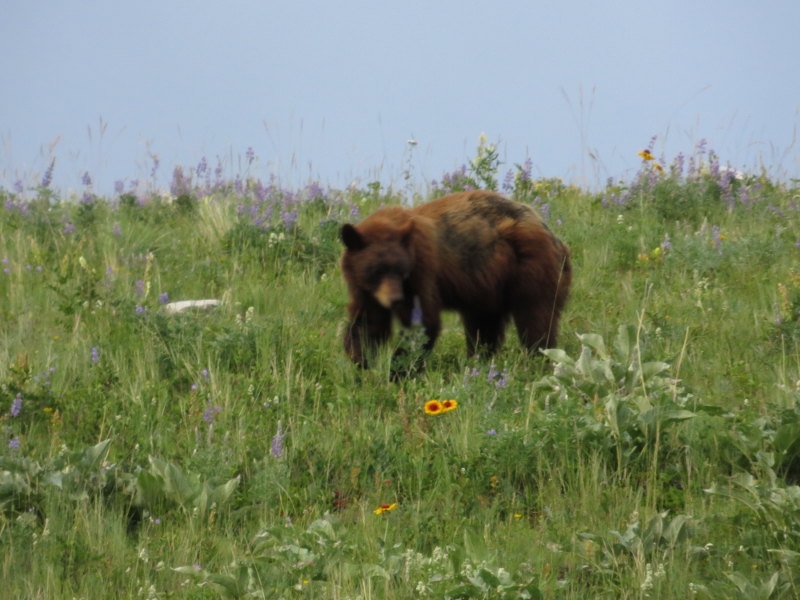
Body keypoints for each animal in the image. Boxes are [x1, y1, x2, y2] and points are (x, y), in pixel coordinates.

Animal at [339, 190, 571, 370]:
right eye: (377, 271)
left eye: (400, 270)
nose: (395, 299)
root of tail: (554, 236)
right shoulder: (365, 290)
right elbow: (367, 323)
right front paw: (362, 362)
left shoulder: (422, 272)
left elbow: (423, 322)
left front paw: (400, 369)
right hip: (490, 285)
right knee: (484, 325)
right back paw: (478, 361)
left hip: (531, 267)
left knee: (535, 317)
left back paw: (536, 360)